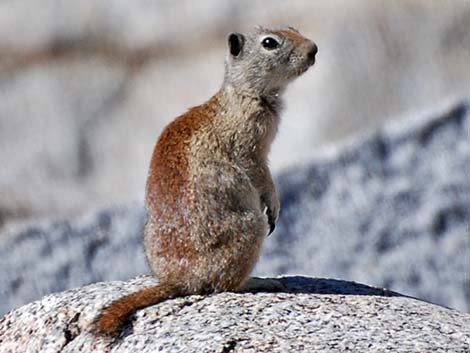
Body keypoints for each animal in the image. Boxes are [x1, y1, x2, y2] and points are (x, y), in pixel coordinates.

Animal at [93, 25, 318, 336]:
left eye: (294, 29)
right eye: (270, 43)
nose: (314, 49)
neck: (243, 93)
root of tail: (179, 281)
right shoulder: (250, 146)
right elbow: (260, 174)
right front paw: (275, 206)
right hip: (250, 228)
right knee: (224, 286)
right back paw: (260, 281)